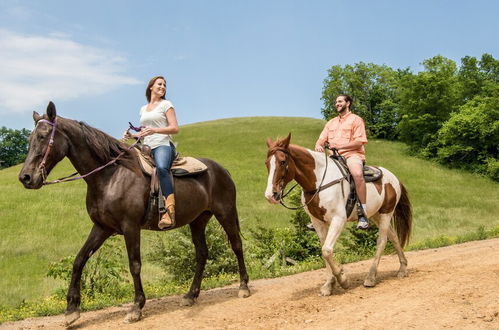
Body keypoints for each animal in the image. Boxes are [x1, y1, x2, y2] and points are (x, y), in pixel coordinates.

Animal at [19, 102, 250, 324]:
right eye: (30, 138)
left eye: (43, 137)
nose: (26, 177)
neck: (110, 176)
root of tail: (222, 170)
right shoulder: (102, 228)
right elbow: (79, 260)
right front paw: (71, 311)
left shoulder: (130, 227)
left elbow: (135, 265)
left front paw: (136, 307)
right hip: (198, 220)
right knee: (202, 253)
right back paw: (191, 295)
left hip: (225, 213)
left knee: (236, 245)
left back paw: (243, 287)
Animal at [266, 134, 414, 294]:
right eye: (267, 163)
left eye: (282, 162)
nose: (270, 195)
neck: (319, 182)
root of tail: (394, 177)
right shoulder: (318, 222)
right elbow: (324, 250)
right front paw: (329, 285)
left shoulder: (338, 219)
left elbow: (327, 250)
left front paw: (343, 279)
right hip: (376, 214)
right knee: (393, 237)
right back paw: (402, 268)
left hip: (387, 212)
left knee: (382, 241)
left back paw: (370, 277)